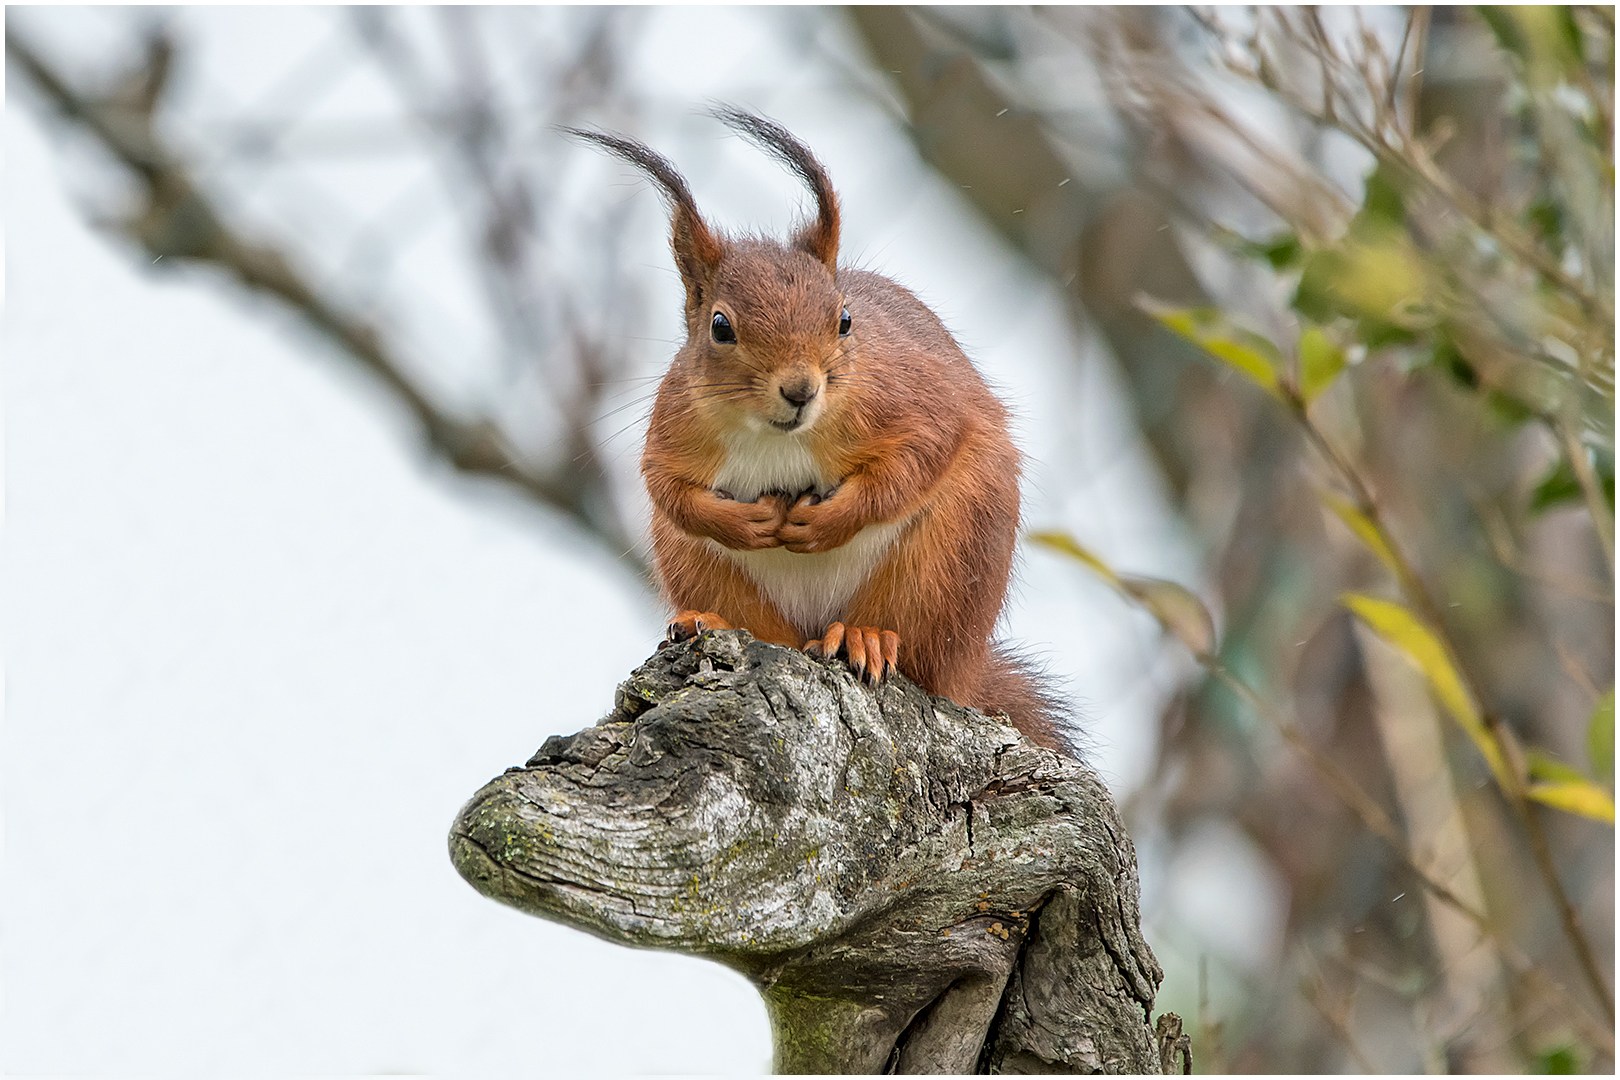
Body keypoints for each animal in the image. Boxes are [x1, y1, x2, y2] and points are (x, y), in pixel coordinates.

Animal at [573, 107, 1075, 751]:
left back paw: (865, 637)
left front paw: (827, 520)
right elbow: (670, 491)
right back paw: (711, 619)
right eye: (719, 327)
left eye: (844, 320)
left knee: (919, 651)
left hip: (949, 559)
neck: (777, 436)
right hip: (700, 566)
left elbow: (921, 455)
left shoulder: (915, 401)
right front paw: (744, 522)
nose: (801, 390)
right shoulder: (673, 431)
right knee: (763, 626)